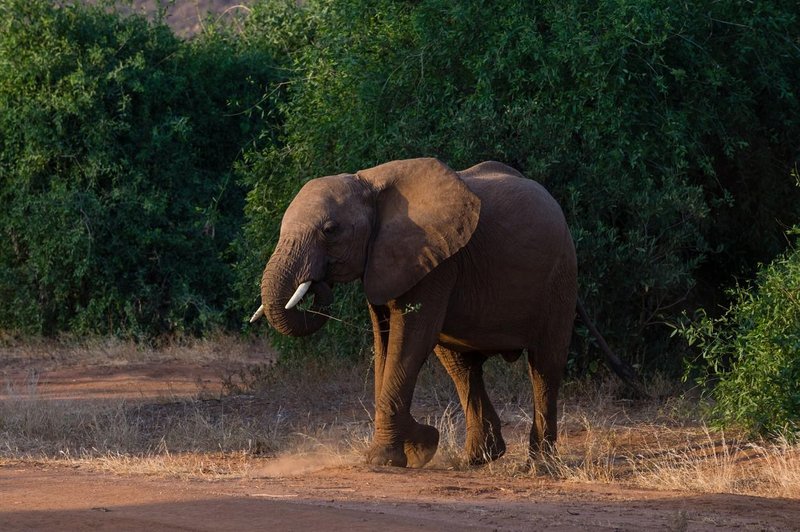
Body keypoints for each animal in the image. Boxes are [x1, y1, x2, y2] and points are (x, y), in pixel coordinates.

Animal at [250, 157, 632, 466]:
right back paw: (479, 459)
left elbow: (410, 340)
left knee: (545, 366)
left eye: (330, 230)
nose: (318, 284)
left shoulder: (436, 262)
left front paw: (392, 458)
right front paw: (419, 446)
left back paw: (539, 467)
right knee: (461, 366)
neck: (369, 182)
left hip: (560, 277)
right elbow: (386, 344)